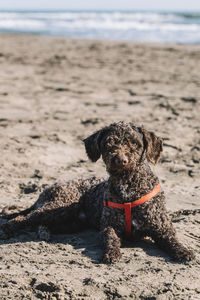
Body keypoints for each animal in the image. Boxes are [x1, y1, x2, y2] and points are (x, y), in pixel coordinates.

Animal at [0, 121, 195, 262]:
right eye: (109, 144)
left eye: (135, 143)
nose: (121, 160)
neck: (128, 184)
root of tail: (47, 189)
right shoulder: (109, 226)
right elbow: (110, 238)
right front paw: (112, 253)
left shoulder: (162, 227)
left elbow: (172, 239)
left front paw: (183, 251)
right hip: (59, 207)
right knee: (22, 218)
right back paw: (8, 229)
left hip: (69, 220)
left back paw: (44, 232)